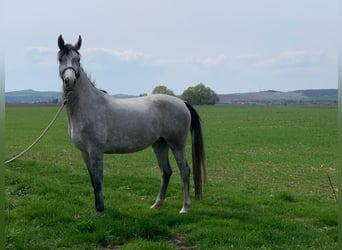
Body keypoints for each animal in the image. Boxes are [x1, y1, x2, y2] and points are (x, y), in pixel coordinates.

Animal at [57, 35, 206, 214]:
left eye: (78, 59)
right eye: (60, 59)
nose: (69, 81)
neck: (88, 105)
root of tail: (182, 102)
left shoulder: (96, 151)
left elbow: (99, 182)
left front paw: (100, 209)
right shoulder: (84, 153)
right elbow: (93, 181)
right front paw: (96, 208)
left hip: (176, 144)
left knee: (184, 171)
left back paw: (185, 207)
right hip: (160, 144)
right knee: (166, 172)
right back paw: (157, 204)